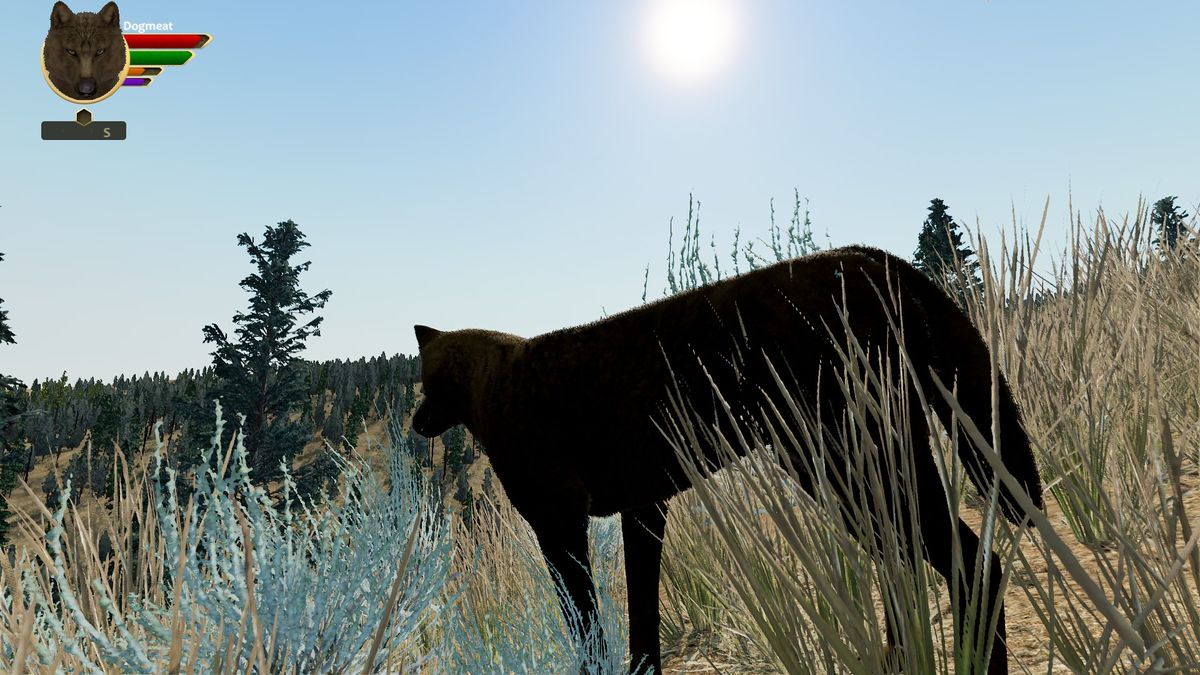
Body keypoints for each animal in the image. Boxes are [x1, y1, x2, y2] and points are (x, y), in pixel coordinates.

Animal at [413, 245, 1043, 675]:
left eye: (428, 378)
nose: (416, 422)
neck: (488, 386)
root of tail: (866, 255)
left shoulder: (558, 522)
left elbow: (587, 623)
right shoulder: (644, 507)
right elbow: (642, 614)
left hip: (848, 461)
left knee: (966, 560)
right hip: (858, 470)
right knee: (910, 565)